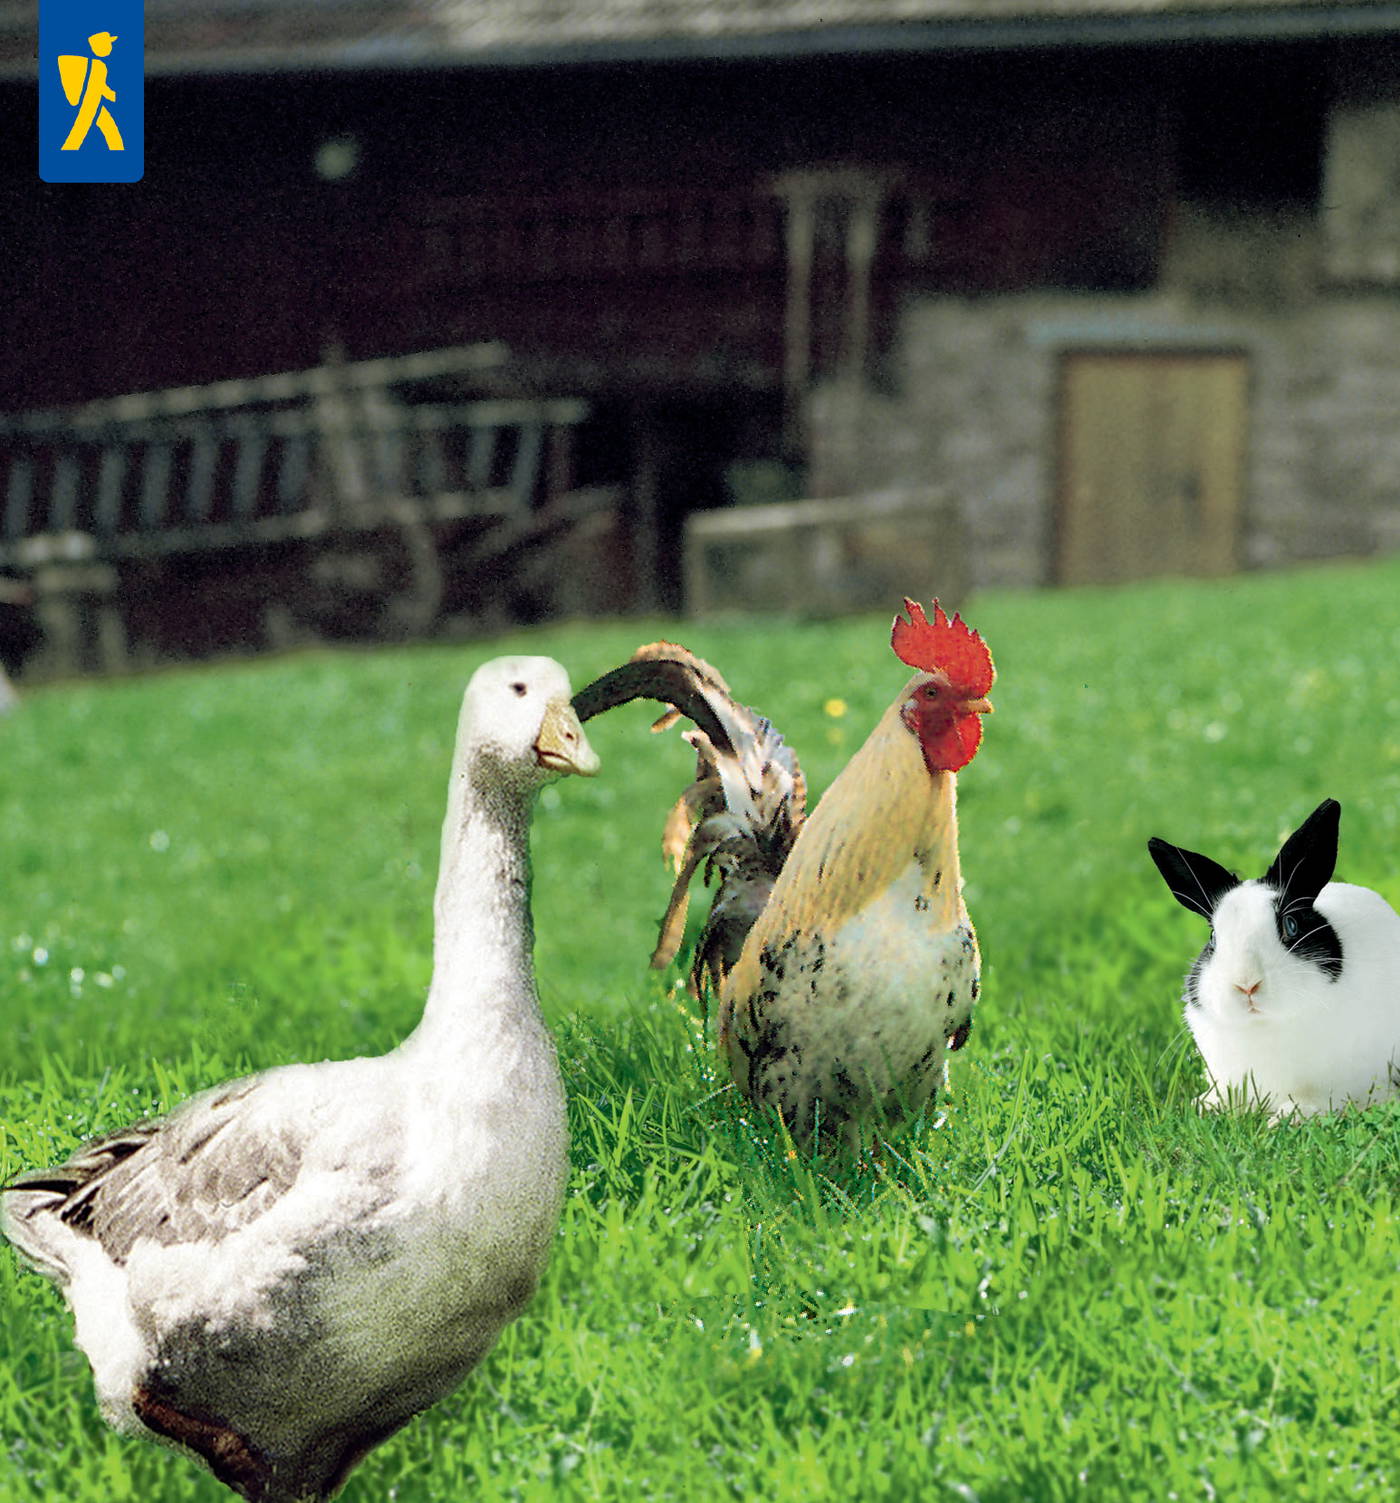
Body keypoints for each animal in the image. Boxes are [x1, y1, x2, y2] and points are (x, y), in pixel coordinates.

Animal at [1147, 798, 1400, 1121]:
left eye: (1290, 925)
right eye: (1213, 937)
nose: (1246, 985)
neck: (1266, 1024)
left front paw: (1290, 1116)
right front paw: (1203, 1106)